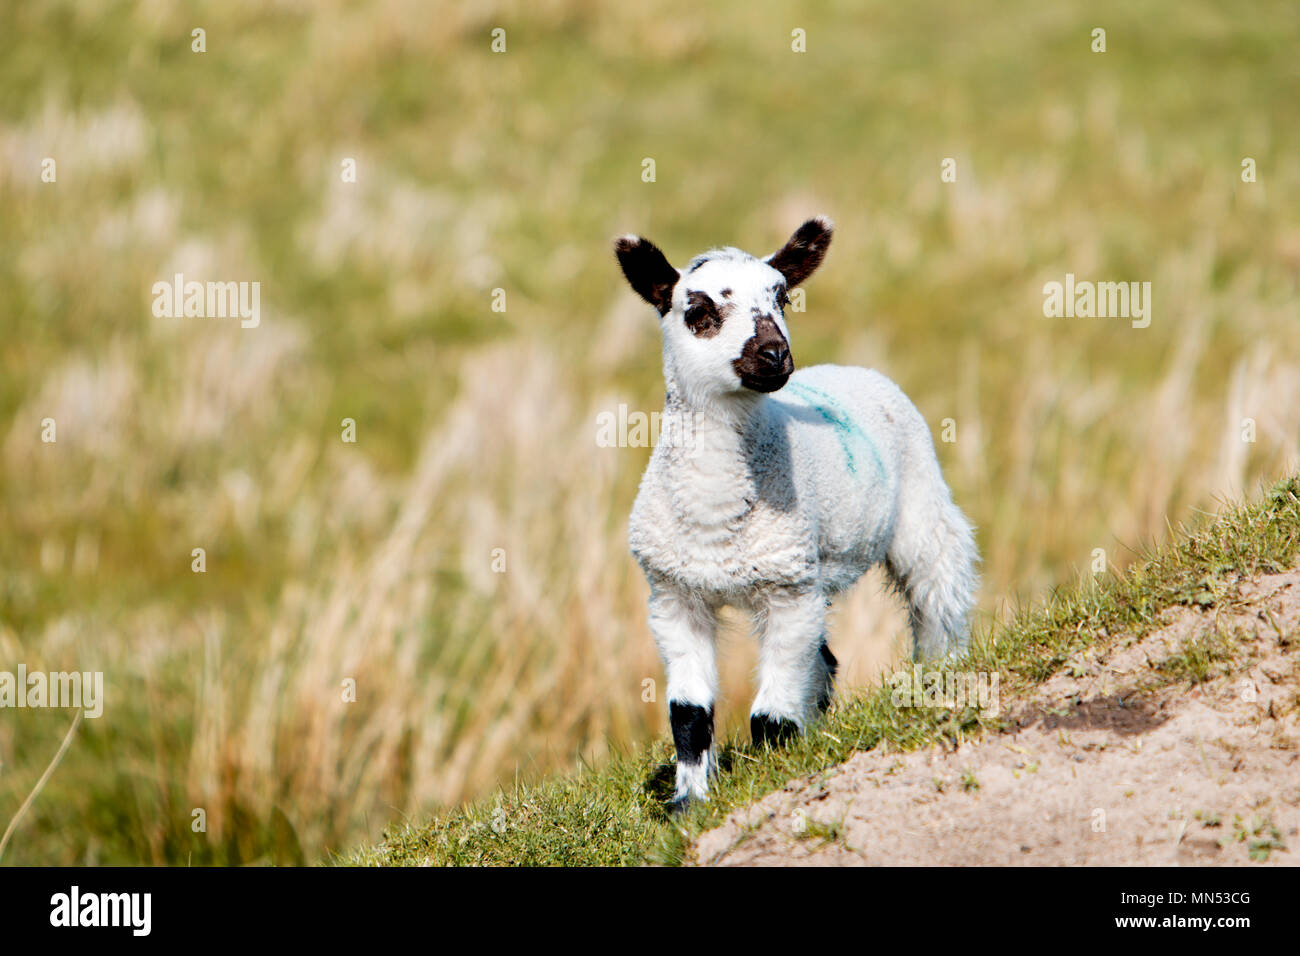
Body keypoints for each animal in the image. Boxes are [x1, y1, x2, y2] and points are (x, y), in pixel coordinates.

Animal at [613, 217, 977, 806]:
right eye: (698, 311)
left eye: (782, 297)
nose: (773, 353)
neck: (717, 523)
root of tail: (850, 369)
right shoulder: (674, 595)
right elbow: (688, 715)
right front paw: (688, 804)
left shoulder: (786, 590)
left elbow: (771, 716)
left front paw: (769, 780)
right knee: (823, 660)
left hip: (921, 503)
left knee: (940, 594)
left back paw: (940, 676)